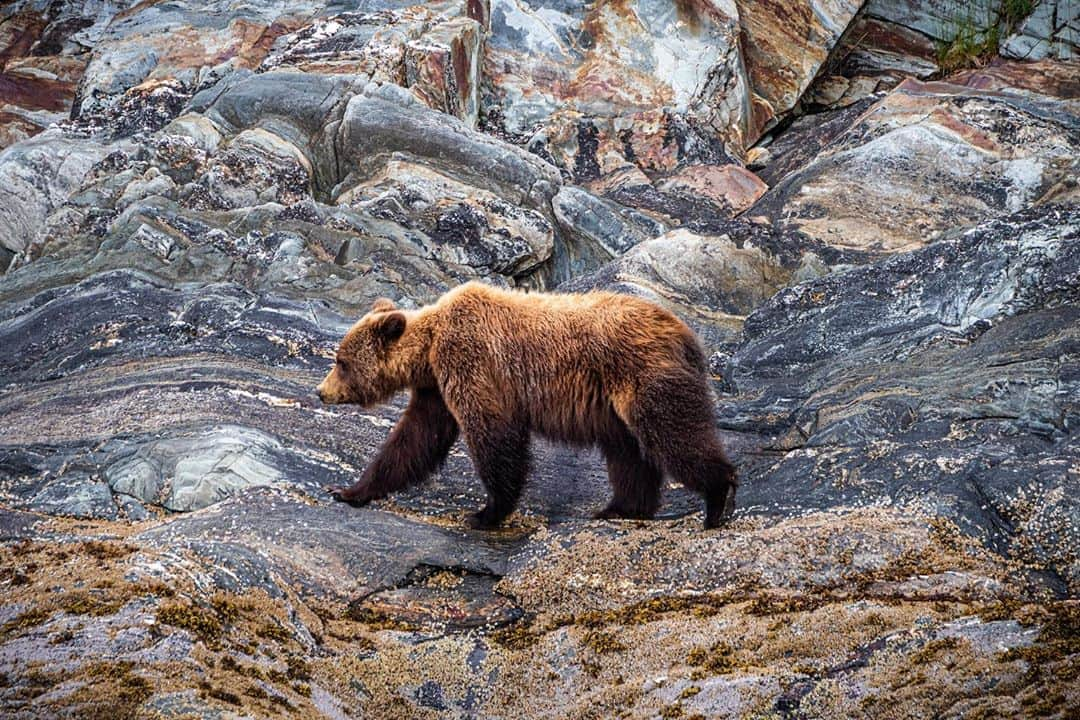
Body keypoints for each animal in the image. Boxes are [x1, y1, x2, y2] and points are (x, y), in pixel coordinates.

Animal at [315, 282, 738, 528]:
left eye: (341, 361)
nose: (322, 391)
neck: (430, 348)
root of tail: (688, 336)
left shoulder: (473, 363)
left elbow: (494, 435)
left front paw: (487, 512)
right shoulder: (435, 388)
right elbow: (414, 439)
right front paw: (350, 490)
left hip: (641, 375)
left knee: (672, 432)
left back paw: (719, 499)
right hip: (615, 406)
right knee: (628, 453)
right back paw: (621, 507)